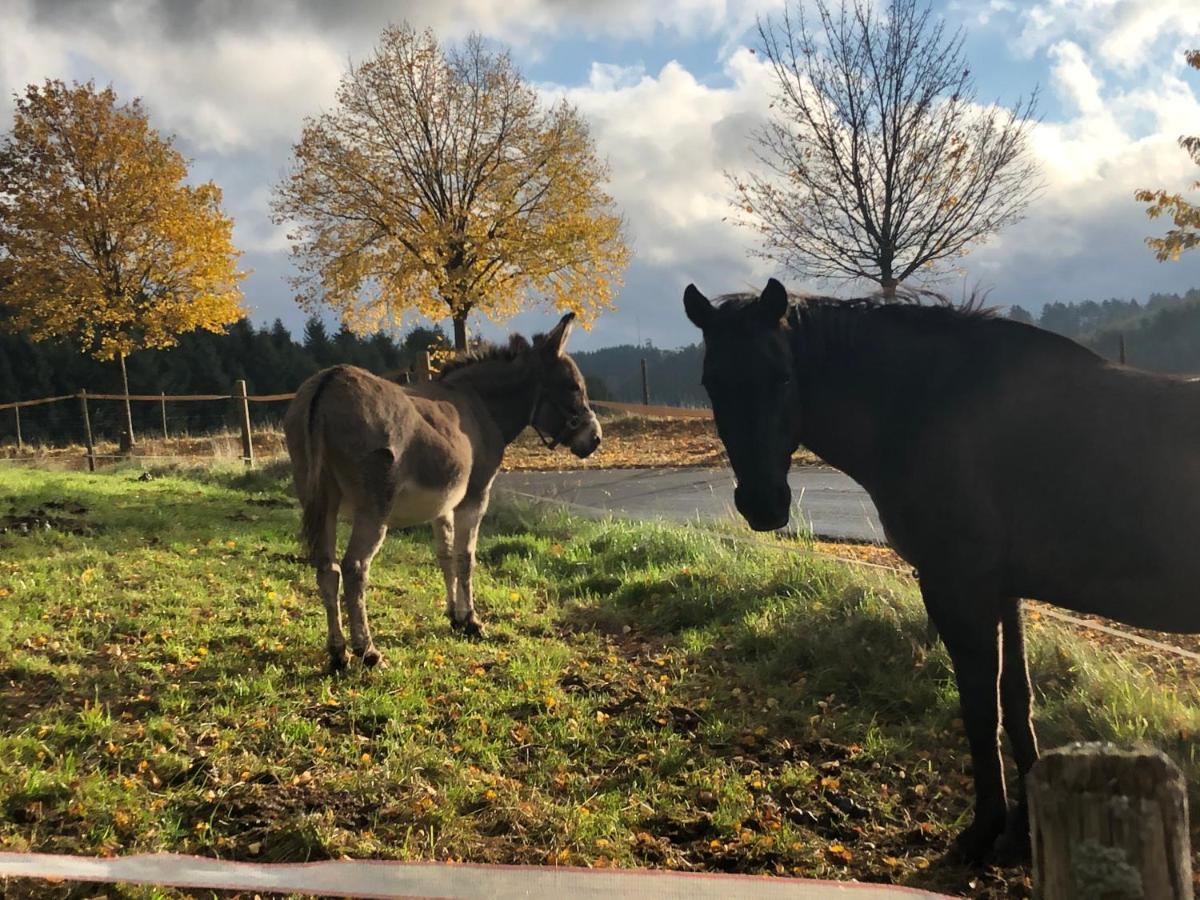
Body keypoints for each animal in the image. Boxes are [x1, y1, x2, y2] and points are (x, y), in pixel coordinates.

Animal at [681, 278, 1200, 864]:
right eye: (712, 383)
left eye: (782, 376)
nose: (762, 505)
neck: (927, 406)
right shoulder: (1002, 592)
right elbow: (1014, 700)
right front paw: (1021, 832)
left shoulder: (958, 587)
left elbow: (979, 708)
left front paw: (982, 832)